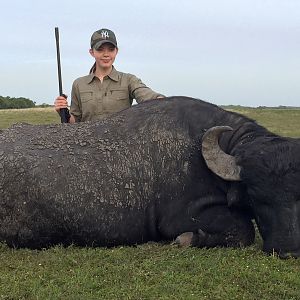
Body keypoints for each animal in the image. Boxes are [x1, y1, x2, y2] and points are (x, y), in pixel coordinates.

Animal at [0, 96, 300, 258]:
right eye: (256, 196)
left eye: (298, 197)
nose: (288, 251)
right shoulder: (178, 219)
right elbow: (243, 231)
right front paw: (188, 239)